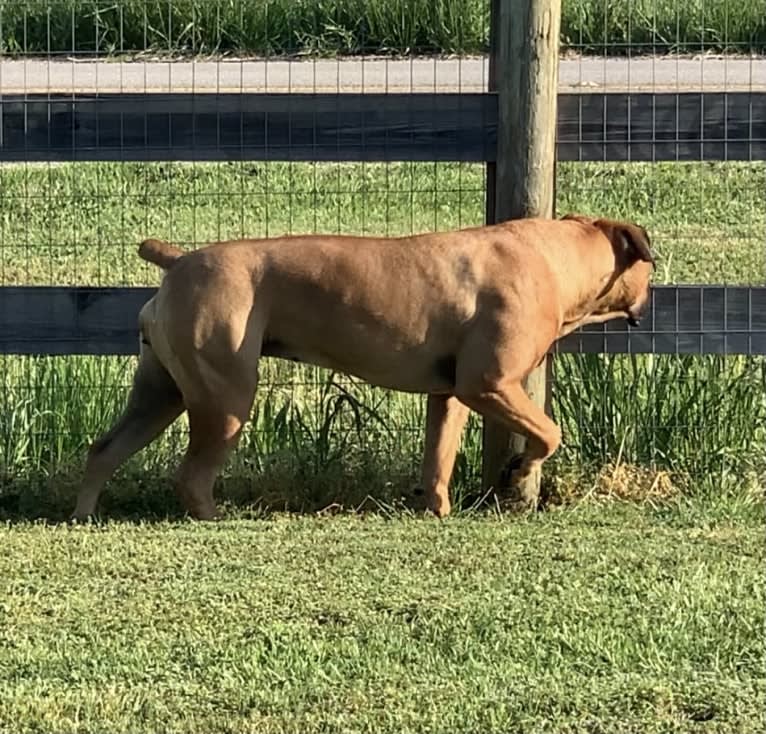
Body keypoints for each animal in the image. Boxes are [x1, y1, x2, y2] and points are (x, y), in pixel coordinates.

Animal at [72, 214, 656, 524]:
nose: (649, 299)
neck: (555, 255)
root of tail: (181, 261)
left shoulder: (450, 396)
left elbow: (438, 462)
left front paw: (438, 512)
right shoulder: (490, 385)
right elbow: (549, 433)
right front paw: (518, 470)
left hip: (161, 393)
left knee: (104, 450)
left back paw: (83, 514)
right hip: (225, 398)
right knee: (192, 476)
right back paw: (217, 520)